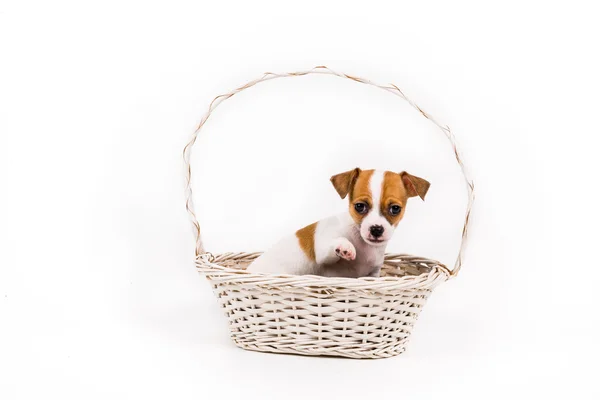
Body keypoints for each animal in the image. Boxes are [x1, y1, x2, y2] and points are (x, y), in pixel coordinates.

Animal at [246, 169, 428, 278]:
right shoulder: (322, 251)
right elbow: (336, 242)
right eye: (359, 206)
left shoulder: (373, 274)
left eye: (395, 209)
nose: (376, 229)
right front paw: (345, 247)